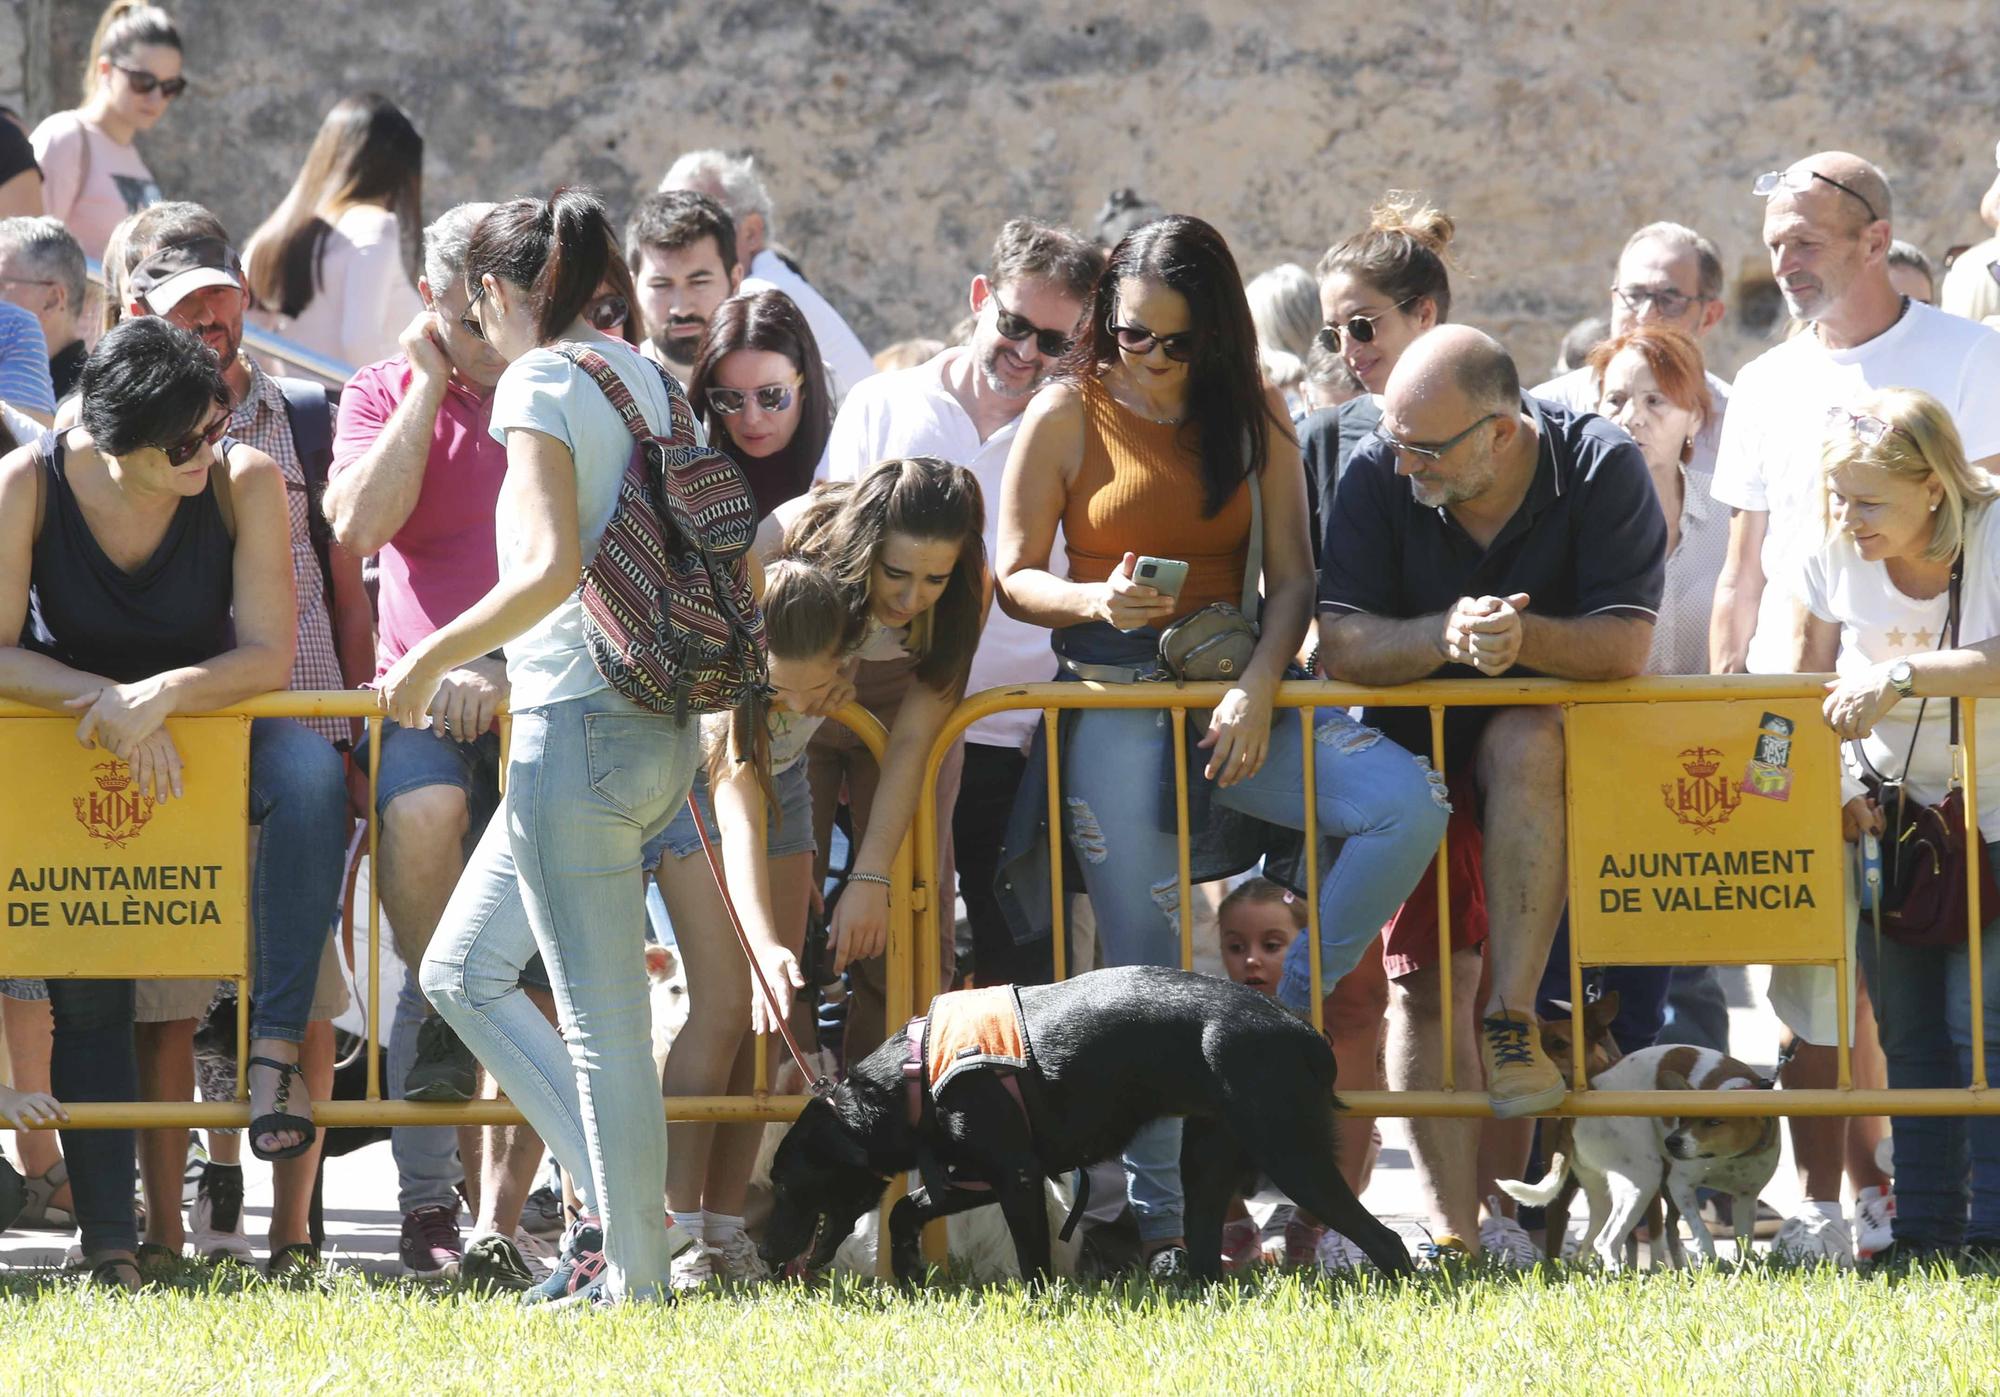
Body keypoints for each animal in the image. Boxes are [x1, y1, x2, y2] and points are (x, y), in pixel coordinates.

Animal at [756, 964, 1416, 1280]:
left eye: (785, 1186)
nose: (762, 1253)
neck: (914, 1077)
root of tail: (1304, 1031)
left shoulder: (1017, 1177)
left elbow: (1032, 1259)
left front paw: (1038, 1304)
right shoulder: (975, 1176)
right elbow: (902, 1211)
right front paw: (912, 1267)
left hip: (1288, 1152)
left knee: (1383, 1239)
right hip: (1207, 1161)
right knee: (1206, 1256)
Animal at [1504, 1040, 1784, 1264]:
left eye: (1714, 1122)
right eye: (1682, 1118)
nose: (1672, 1142)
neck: (1728, 1159)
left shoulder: (1745, 1198)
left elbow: (1744, 1241)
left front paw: (1743, 1269)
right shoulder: (1679, 1186)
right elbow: (1702, 1232)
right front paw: (1710, 1261)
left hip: (1602, 1194)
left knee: (1590, 1242)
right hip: (1642, 1181)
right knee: (1607, 1241)